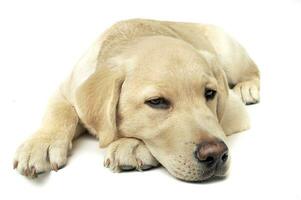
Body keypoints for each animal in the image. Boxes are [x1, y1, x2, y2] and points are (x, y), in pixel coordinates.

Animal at [13, 18, 258, 181]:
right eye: (157, 102)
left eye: (209, 94)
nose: (216, 155)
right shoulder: (66, 89)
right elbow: (60, 113)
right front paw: (41, 144)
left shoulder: (233, 113)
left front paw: (130, 145)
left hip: (229, 54)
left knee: (253, 70)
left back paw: (248, 88)